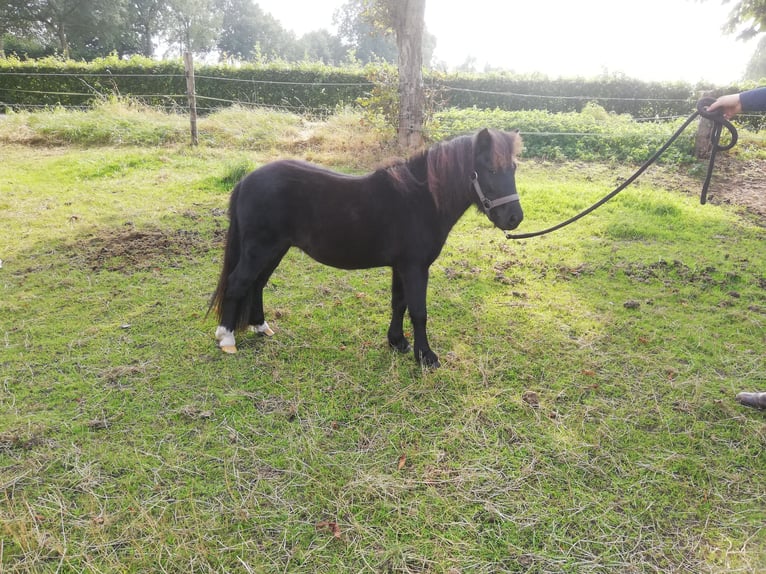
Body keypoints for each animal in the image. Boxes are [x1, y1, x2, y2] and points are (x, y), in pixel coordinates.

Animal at [210, 129, 520, 368]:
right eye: (491, 170)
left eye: (513, 168)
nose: (515, 218)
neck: (419, 199)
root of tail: (246, 180)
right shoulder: (415, 267)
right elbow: (418, 311)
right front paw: (425, 356)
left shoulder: (401, 267)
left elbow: (399, 303)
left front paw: (397, 342)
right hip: (259, 249)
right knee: (238, 283)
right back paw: (226, 338)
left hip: (275, 249)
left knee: (257, 284)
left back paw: (261, 326)